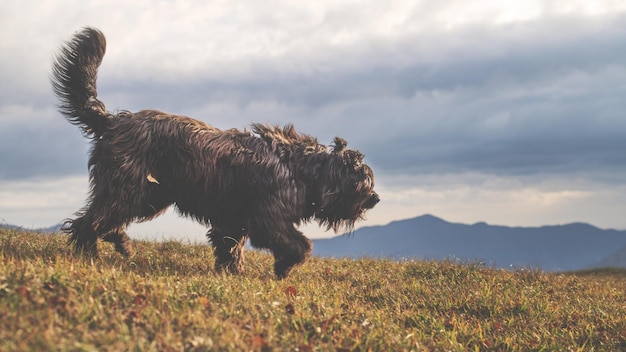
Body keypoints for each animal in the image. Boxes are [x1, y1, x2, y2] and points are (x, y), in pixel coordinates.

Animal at [51, 27, 378, 280]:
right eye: (361, 182)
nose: (375, 199)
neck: (302, 168)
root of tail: (113, 120)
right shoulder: (268, 218)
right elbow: (300, 245)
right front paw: (284, 267)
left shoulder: (233, 220)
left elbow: (229, 246)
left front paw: (232, 271)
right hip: (132, 188)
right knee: (91, 221)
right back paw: (90, 252)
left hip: (149, 194)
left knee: (102, 218)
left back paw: (117, 243)